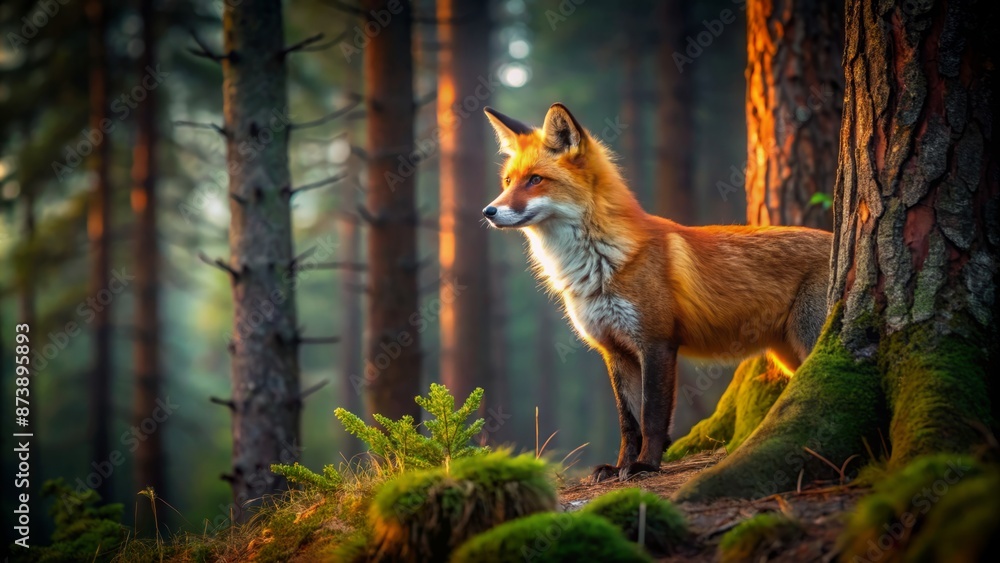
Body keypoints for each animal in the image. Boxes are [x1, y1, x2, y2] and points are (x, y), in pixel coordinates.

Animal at [481, 103, 832, 482]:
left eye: (535, 180)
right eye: (507, 182)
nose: (488, 211)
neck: (599, 266)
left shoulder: (657, 342)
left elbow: (651, 416)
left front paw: (645, 466)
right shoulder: (616, 350)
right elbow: (628, 422)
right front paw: (619, 466)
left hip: (810, 340)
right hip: (790, 355)